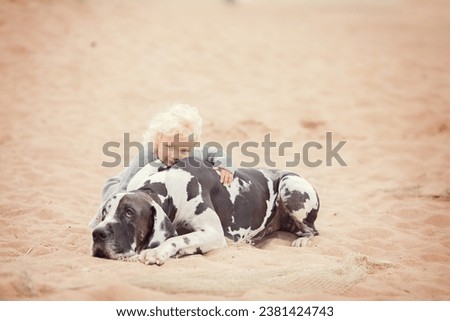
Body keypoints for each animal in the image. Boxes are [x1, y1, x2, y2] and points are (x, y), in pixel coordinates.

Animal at [89, 156, 318, 264]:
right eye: (104, 212)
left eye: (129, 212)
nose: (97, 234)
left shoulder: (214, 233)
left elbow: (177, 238)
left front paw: (157, 251)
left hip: (290, 186)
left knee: (313, 230)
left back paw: (303, 240)